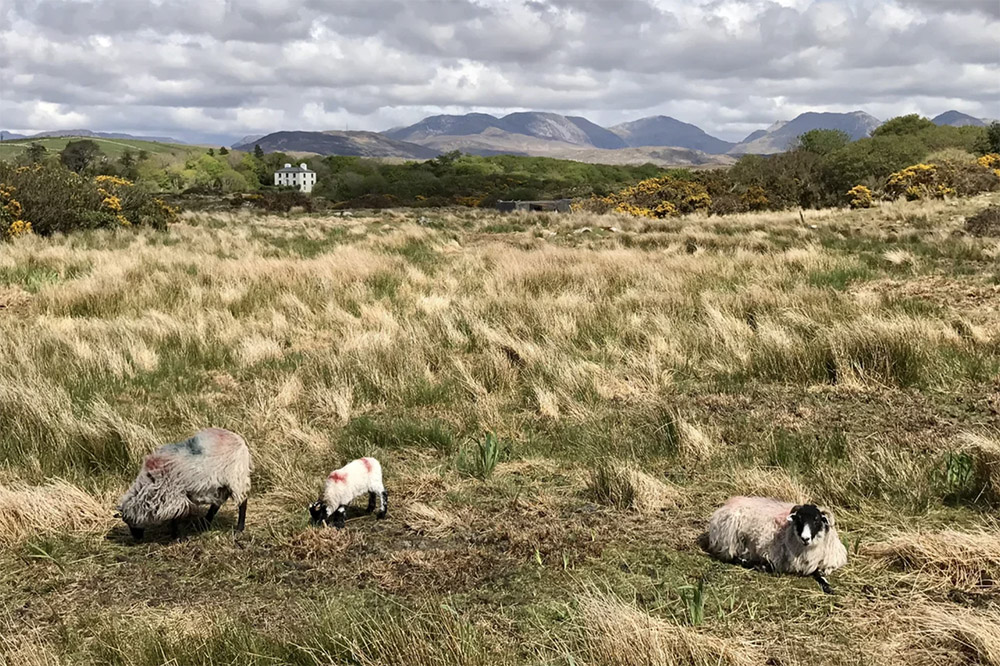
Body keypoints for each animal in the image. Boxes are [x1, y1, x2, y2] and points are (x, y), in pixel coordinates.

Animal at [116, 426, 252, 540]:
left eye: (129, 522)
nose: (136, 539)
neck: (149, 483)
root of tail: (240, 439)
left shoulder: (173, 497)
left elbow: (175, 518)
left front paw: (177, 537)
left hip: (236, 478)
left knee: (242, 502)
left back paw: (239, 529)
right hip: (221, 485)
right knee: (216, 504)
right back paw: (205, 523)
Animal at [708, 492, 848, 592]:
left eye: (816, 520)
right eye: (799, 519)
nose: (805, 538)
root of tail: (729, 502)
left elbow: (820, 573)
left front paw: (827, 586)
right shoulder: (773, 556)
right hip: (729, 537)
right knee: (730, 556)